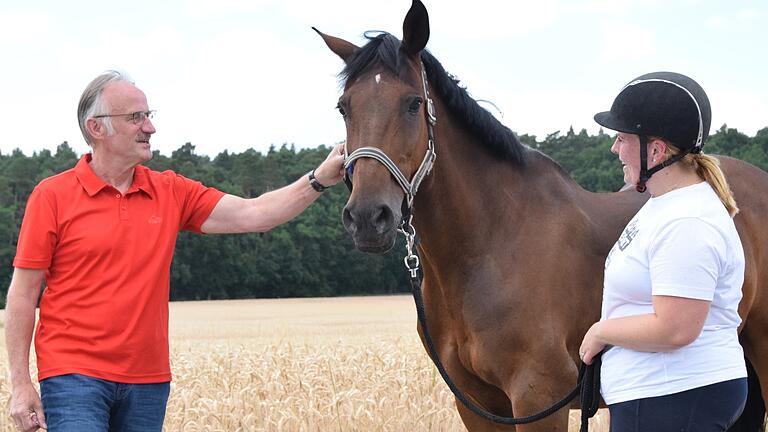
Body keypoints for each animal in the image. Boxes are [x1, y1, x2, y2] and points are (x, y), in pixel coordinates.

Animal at [314, 1, 768, 430]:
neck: (490, 245)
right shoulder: (477, 404)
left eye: (413, 104)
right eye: (343, 108)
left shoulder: (538, 397)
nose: (368, 217)